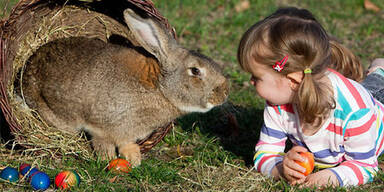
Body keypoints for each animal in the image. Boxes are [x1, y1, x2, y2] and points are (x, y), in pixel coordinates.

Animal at [21, 8, 228, 166]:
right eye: (195, 71)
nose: (224, 94)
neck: (160, 87)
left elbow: (126, 144)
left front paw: (134, 159)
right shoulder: (101, 127)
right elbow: (103, 143)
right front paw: (107, 160)